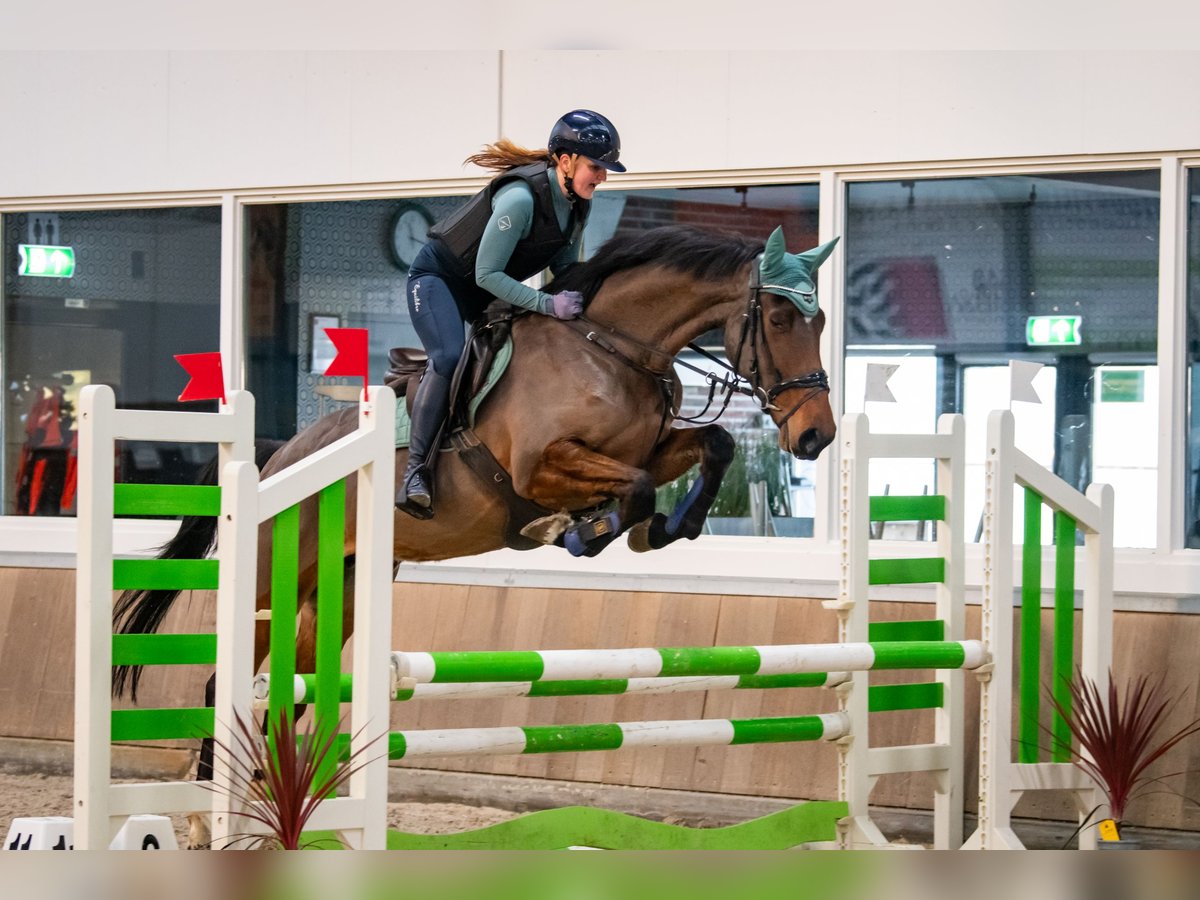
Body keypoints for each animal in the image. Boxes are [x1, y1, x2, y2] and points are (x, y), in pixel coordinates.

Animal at [117, 225, 840, 844]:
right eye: (779, 320)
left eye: (821, 322)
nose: (817, 436)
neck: (611, 349)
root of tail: (274, 459)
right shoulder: (540, 465)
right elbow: (631, 488)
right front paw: (583, 530)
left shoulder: (655, 448)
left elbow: (712, 446)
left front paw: (663, 529)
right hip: (272, 583)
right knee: (224, 688)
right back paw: (207, 823)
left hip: (337, 594)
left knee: (284, 702)